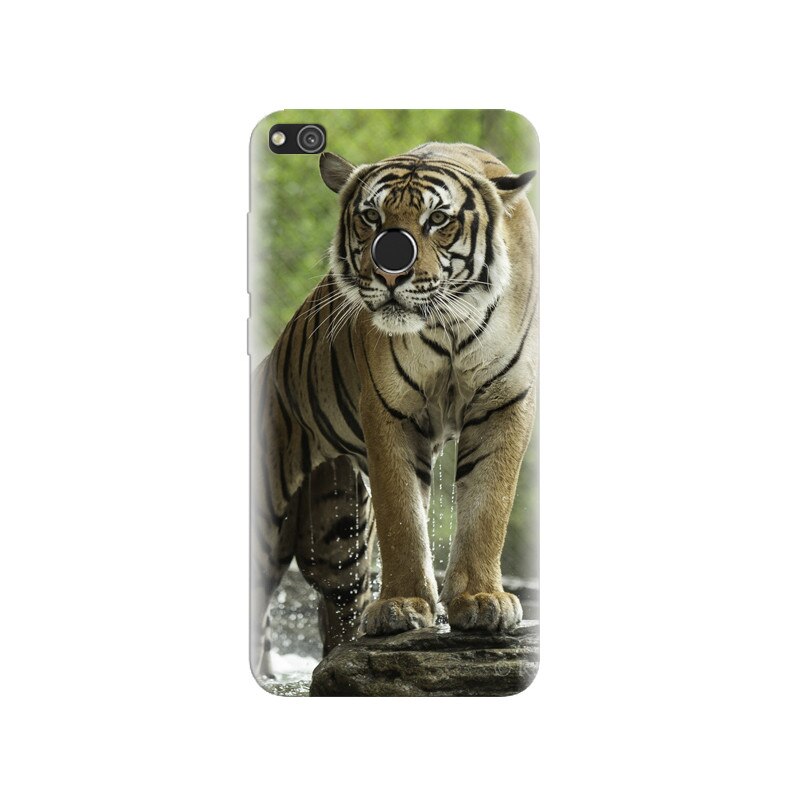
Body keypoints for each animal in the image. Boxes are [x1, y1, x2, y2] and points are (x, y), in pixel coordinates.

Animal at [251, 141, 538, 681]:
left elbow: (488, 505)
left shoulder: (504, 402)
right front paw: (402, 607)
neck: (450, 325)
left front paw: (480, 600)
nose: (389, 273)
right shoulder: (389, 411)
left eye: (438, 219)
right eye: (371, 216)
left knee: (337, 609)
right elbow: (403, 515)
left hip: (337, 536)